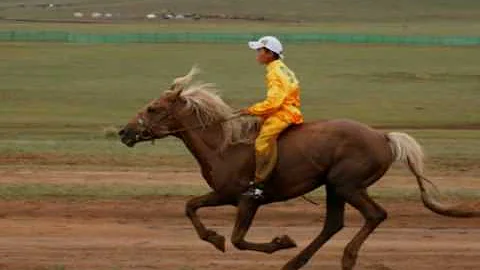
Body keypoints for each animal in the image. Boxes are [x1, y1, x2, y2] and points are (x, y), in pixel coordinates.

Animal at [118, 68, 478, 270]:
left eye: (153, 108)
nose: (124, 132)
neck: (224, 145)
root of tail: (384, 137)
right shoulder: (223, 194)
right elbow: (190, 207)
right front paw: (214, 238)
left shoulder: (246, 199)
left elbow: (238, 239)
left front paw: (280, 241)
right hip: (334, 187)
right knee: (333, 224)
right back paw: (296, 263)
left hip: (347, 185)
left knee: (374, 215)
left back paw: (344, 258)